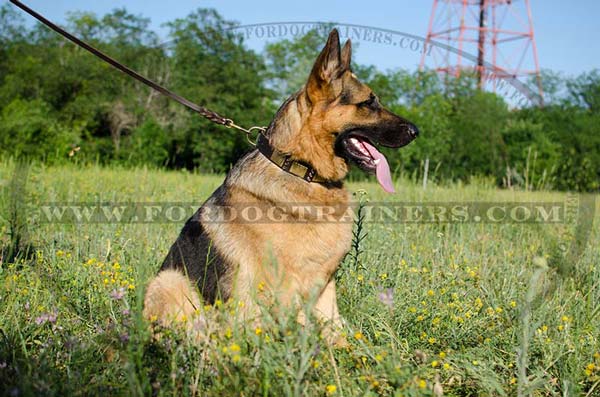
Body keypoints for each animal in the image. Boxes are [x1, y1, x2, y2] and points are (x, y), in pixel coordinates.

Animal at [144, 28, 420, 344]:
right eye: (369, 103)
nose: (417, 131)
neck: (301, 170)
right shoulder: (286, 287)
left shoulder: (324, 288)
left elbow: (336, 333)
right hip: (170, 280)